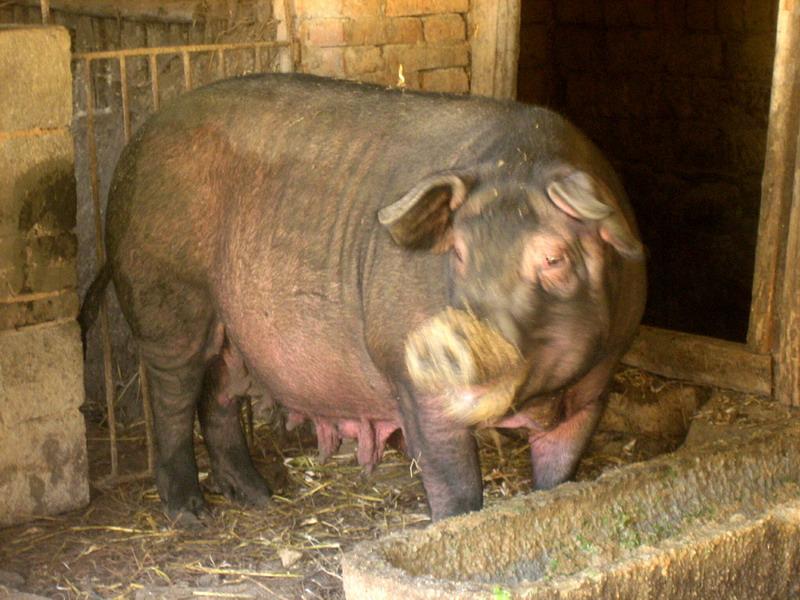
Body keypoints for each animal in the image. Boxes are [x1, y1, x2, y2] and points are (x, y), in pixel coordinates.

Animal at [83, 74, 644, 524]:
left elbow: (558, 475)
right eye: (459, 253)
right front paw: (450, 527)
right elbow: (456, 486)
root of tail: (138, 140)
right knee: (172, 398)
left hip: (231, 327)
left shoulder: (597, 384)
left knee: (217, 395)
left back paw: (258, 496)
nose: (443, 338)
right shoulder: (409, 379)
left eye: (553, 258)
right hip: (167, 293)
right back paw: (192, 516)